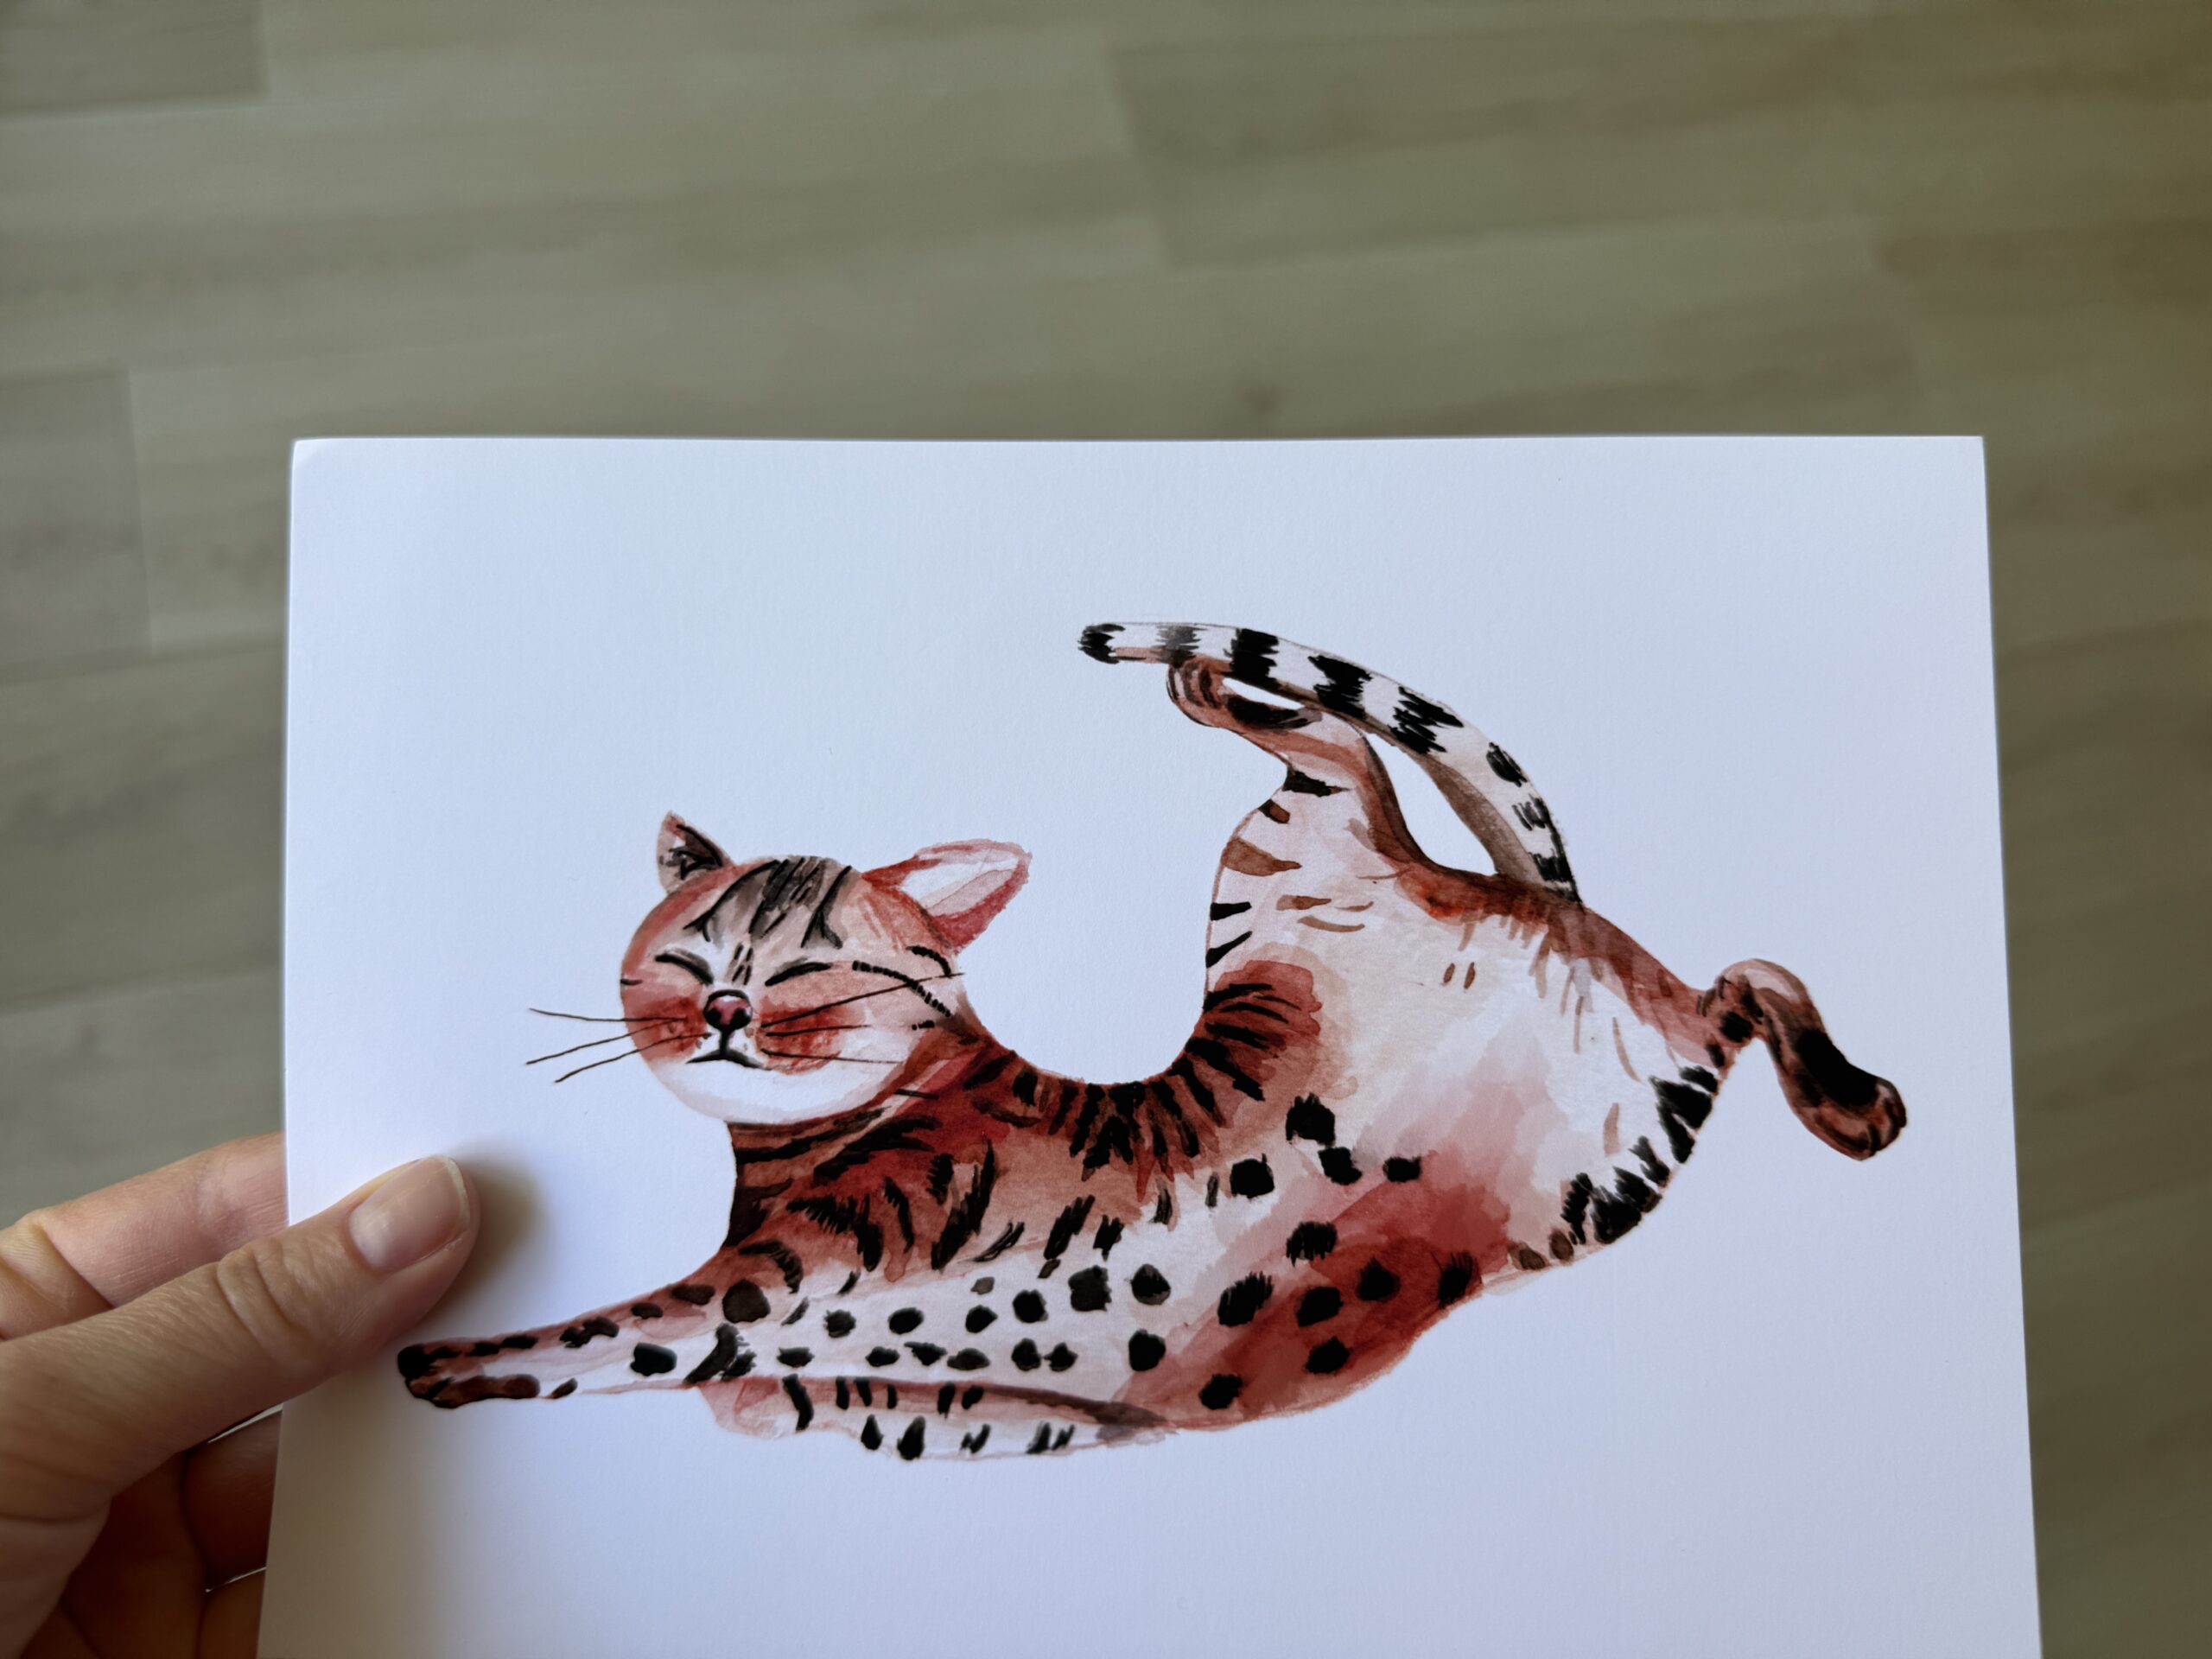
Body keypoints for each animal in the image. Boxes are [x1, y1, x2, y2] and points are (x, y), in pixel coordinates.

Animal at [399, 622, 1904, 1459]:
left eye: (814, 966)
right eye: (694, 958)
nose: (724, 1012)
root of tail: (1523, 899)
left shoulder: (764, 1294)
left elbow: (617, 1326)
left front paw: (441, 1360)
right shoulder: (849, 1381)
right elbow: (693, 1371)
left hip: (1316, 880)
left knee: (1377, 769)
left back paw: (1855, 1099)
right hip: (1606, 1105)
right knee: (1696, 969)